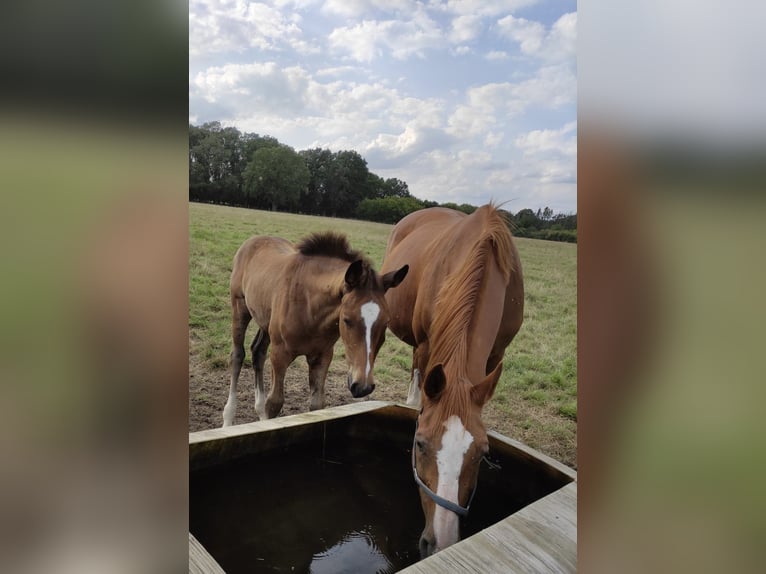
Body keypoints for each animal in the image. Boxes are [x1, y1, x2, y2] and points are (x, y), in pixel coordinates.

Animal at [224, 231, 408, 428]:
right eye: (346, 320)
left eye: (386, 323)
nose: (363, 386)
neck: (309, 306)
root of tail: (254, 239)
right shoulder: (279, 354)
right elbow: (274, 403)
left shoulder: (323, 356)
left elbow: (318, 406)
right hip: (239, 307)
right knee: (238, 355)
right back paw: (228, 419)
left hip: (264, 320)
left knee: (258, 352)